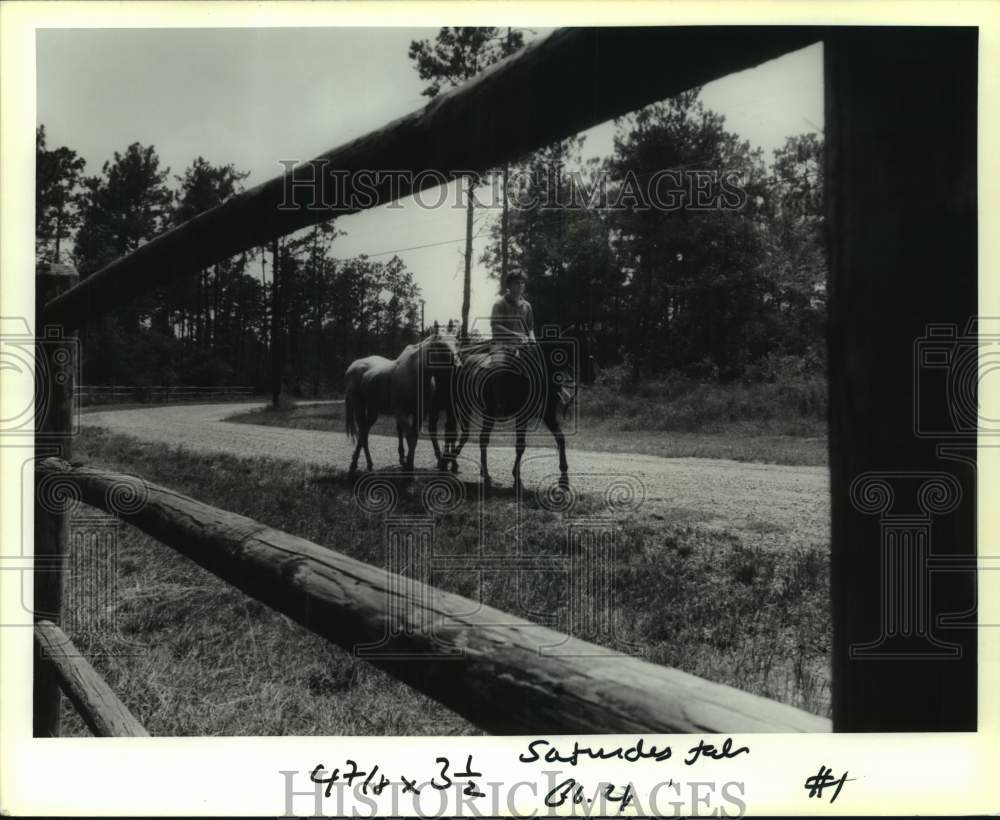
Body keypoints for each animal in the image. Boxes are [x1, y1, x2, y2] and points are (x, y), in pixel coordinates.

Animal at [430, 328, 592, 494]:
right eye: (581, 346)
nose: (590, 376)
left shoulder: (548, 416)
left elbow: (559, 439)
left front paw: (564, 480)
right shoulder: (522, 416)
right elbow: (520, 446)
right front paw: (517, 480)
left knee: (465, 436)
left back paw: (455, 464)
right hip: (472, 409)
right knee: (473, 437)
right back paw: (470, 470)